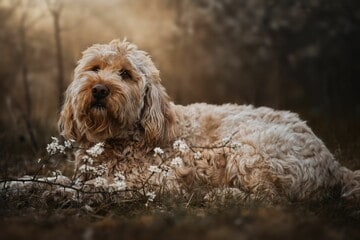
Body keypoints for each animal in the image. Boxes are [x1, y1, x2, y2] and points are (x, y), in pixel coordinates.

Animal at [57, 39, 358, 202]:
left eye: (126, 74)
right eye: (94, 68)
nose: (99, 89)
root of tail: (333, 164)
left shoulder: (159, 182)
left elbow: (102, 185)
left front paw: (70, 191)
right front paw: (47, 186)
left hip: (247, 146)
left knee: (272, 198)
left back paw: (222, 195)